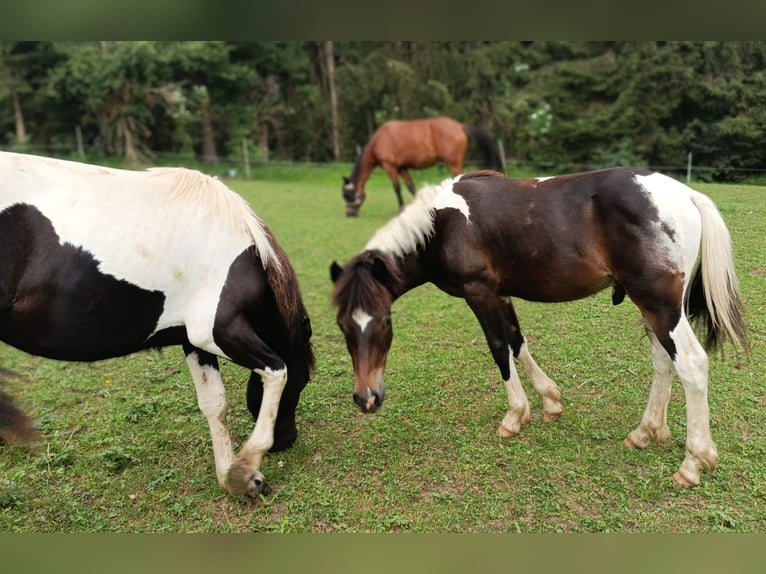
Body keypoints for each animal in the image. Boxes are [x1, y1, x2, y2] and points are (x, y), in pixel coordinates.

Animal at [0, 152, 316, 500]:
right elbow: (276, 370)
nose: (287, 440)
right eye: (303, 382)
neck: (240, 252)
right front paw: (246, 469)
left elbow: (214, 402)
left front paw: (230, 476)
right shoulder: (218, 331)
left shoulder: (194, 341)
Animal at [332, 169, 752, 488]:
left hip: (661, 306)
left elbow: (499, 347)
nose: (366, 398)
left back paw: (693, 463)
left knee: (692, 365)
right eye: (342, 326)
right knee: (664, 362)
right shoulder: (500, 293)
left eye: (385, 321)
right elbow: (518, 342)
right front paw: (550, 401)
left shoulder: (479, 292)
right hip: (654, 307)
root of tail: (686, 194)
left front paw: (515, 416)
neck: (440, 223)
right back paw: (645, 433)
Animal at [344, 118, 508, 217]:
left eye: (347, 195)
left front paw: (401, 209)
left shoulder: (389, 166)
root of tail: (460, 126)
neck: (379, 140)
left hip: (453, 163)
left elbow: (397, 188)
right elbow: (411, 187)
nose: (349, 214)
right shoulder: (402, 168)